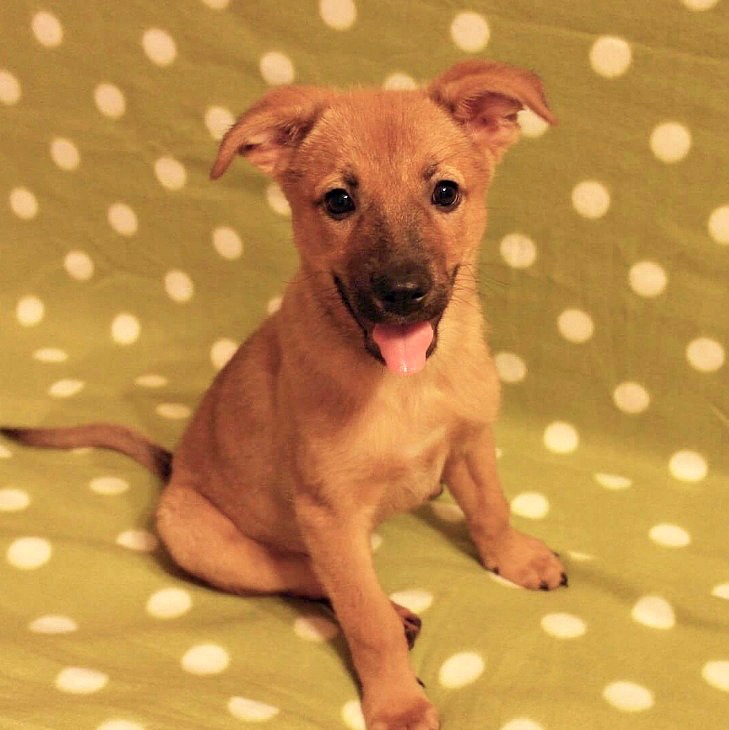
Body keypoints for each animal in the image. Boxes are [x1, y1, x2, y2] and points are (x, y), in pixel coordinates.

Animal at [3, 60, 566, 729]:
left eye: (446, 193)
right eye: (339, 201)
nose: (402, 292)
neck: (404, 384)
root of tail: (173, 471)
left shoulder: (472, 440)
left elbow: (491, 509)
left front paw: (516, 559)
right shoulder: (330, 513)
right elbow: (363, 618)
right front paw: (398, 702)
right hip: (195, 534)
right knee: (306, 575)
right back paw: (394, 610)